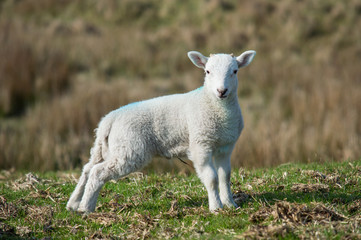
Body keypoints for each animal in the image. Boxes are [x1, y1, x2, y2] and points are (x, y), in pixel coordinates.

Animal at [65, 49, 256, 213]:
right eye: (207, 71)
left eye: (235, 71)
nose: (222, 91)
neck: (216, 107)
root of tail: (108, 120)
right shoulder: (201, 144)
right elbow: (212, 178)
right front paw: (216, 207)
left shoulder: (225, 147)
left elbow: (225, 177)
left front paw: (230, 204)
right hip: (129, 150)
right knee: (98, 172)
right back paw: (86, 208)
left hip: (106, 148)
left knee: (88, 168)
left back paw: (74, 203)